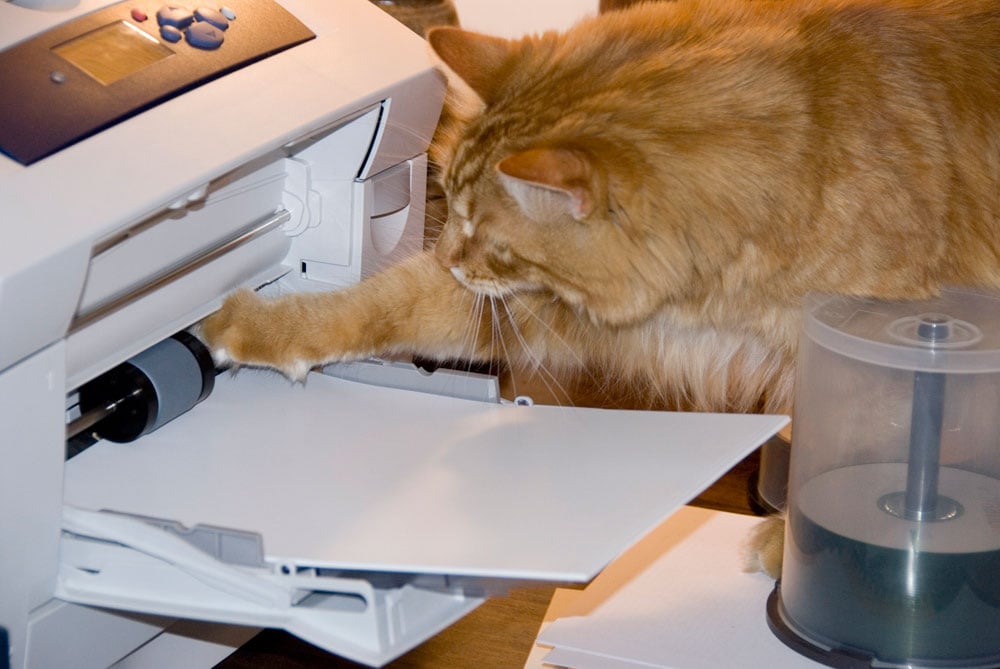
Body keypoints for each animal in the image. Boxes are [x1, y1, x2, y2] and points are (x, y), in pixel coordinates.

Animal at [201, 0, 1000, 576]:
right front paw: (244, 326)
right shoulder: (545, 310)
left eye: (486, 235)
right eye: (446, 201)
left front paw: (797, 549)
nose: (451, 254)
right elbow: (378, 305)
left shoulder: (875, 356)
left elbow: (865, 455)